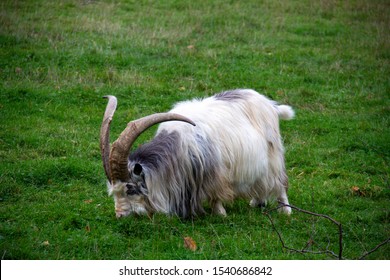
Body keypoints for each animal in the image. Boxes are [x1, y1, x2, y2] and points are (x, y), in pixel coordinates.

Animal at [99, 88, 294, 218]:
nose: (119, 215)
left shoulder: (212, 173)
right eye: (113, 192)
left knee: (279, 182)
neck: (178, 146)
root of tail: (269, 104)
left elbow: (215, 196)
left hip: (273, 154)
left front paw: (220, 213)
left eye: (130, 189)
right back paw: (256, 202)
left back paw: (286, 210)